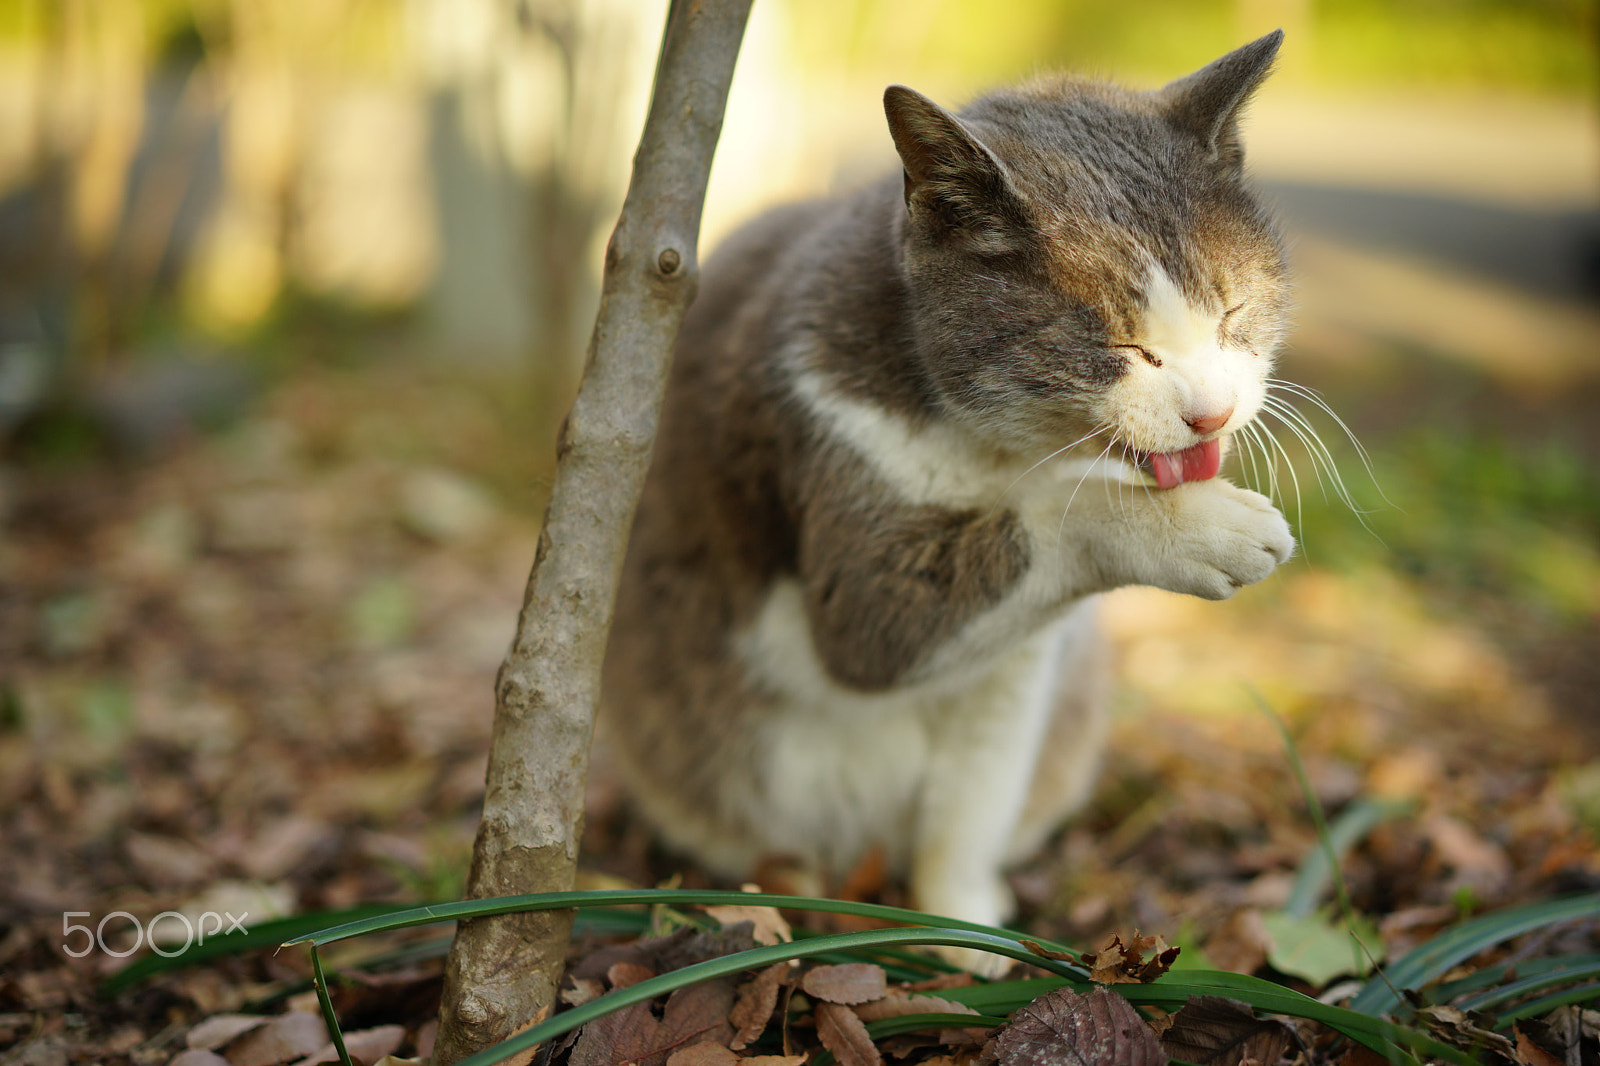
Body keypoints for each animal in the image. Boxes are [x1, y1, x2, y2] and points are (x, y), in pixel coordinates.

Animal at [601, 29, 1299, 960]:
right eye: (1124, 347)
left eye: (1233, 313)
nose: (1211, 412)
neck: (1005, 452)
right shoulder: (829, 462)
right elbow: (970, 570)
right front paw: (1213, 529)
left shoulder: (1023, 667)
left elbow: (975, 797)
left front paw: (963, 927)